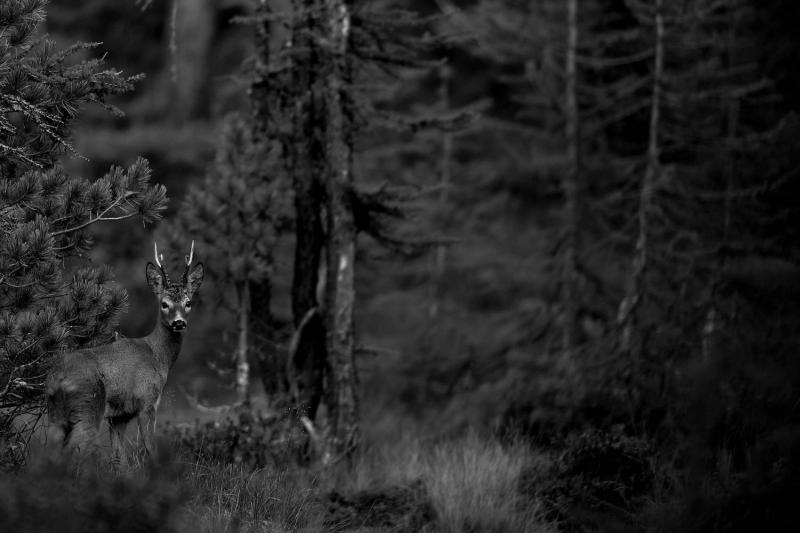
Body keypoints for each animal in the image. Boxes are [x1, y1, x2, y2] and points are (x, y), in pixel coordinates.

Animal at [46, 241, 204, 468]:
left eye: (188, 302)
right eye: (164, 304)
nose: (179, 323)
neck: (157, 356)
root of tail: (58, 378)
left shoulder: (119, 416)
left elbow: (119, 458)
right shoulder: (147, 401)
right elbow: (151, 449)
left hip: (55, 414)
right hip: (88, 407)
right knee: (71, 451)